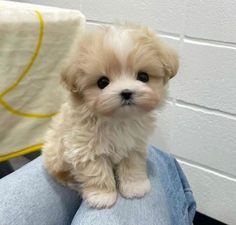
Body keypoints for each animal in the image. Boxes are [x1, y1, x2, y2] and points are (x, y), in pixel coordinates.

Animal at [42, 23, 179, 208]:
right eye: (102, 82)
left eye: (143, 76)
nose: (127, 92)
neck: (118, 120)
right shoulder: (85, 148)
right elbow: (97, 172)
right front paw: (102, 196)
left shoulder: (134, 145)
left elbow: (133, 166)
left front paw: (135, 186)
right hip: (55, 155)